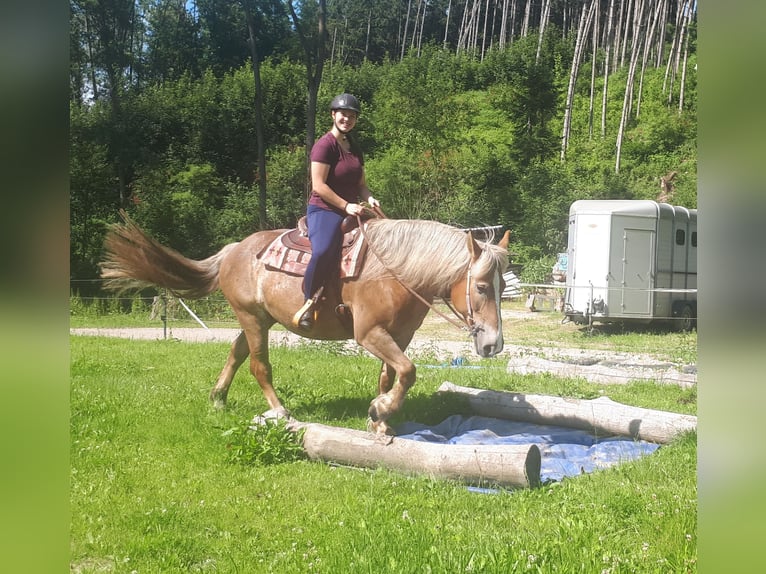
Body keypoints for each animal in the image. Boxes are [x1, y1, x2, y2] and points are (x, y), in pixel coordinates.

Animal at [100, 213, 510, 436]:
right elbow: (408, 372)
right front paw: (381, 411)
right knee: (258, 365)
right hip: (253, 319)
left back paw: (218, 399)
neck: (394, 271)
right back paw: (279, 411)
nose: (494, 344)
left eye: (504, 286)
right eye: (481, 286)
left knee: (235, 352)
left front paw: (379, 417)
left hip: (257, 319)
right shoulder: (369, 334)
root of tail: (233, 250)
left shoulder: (399, 336)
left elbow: (391, 375)